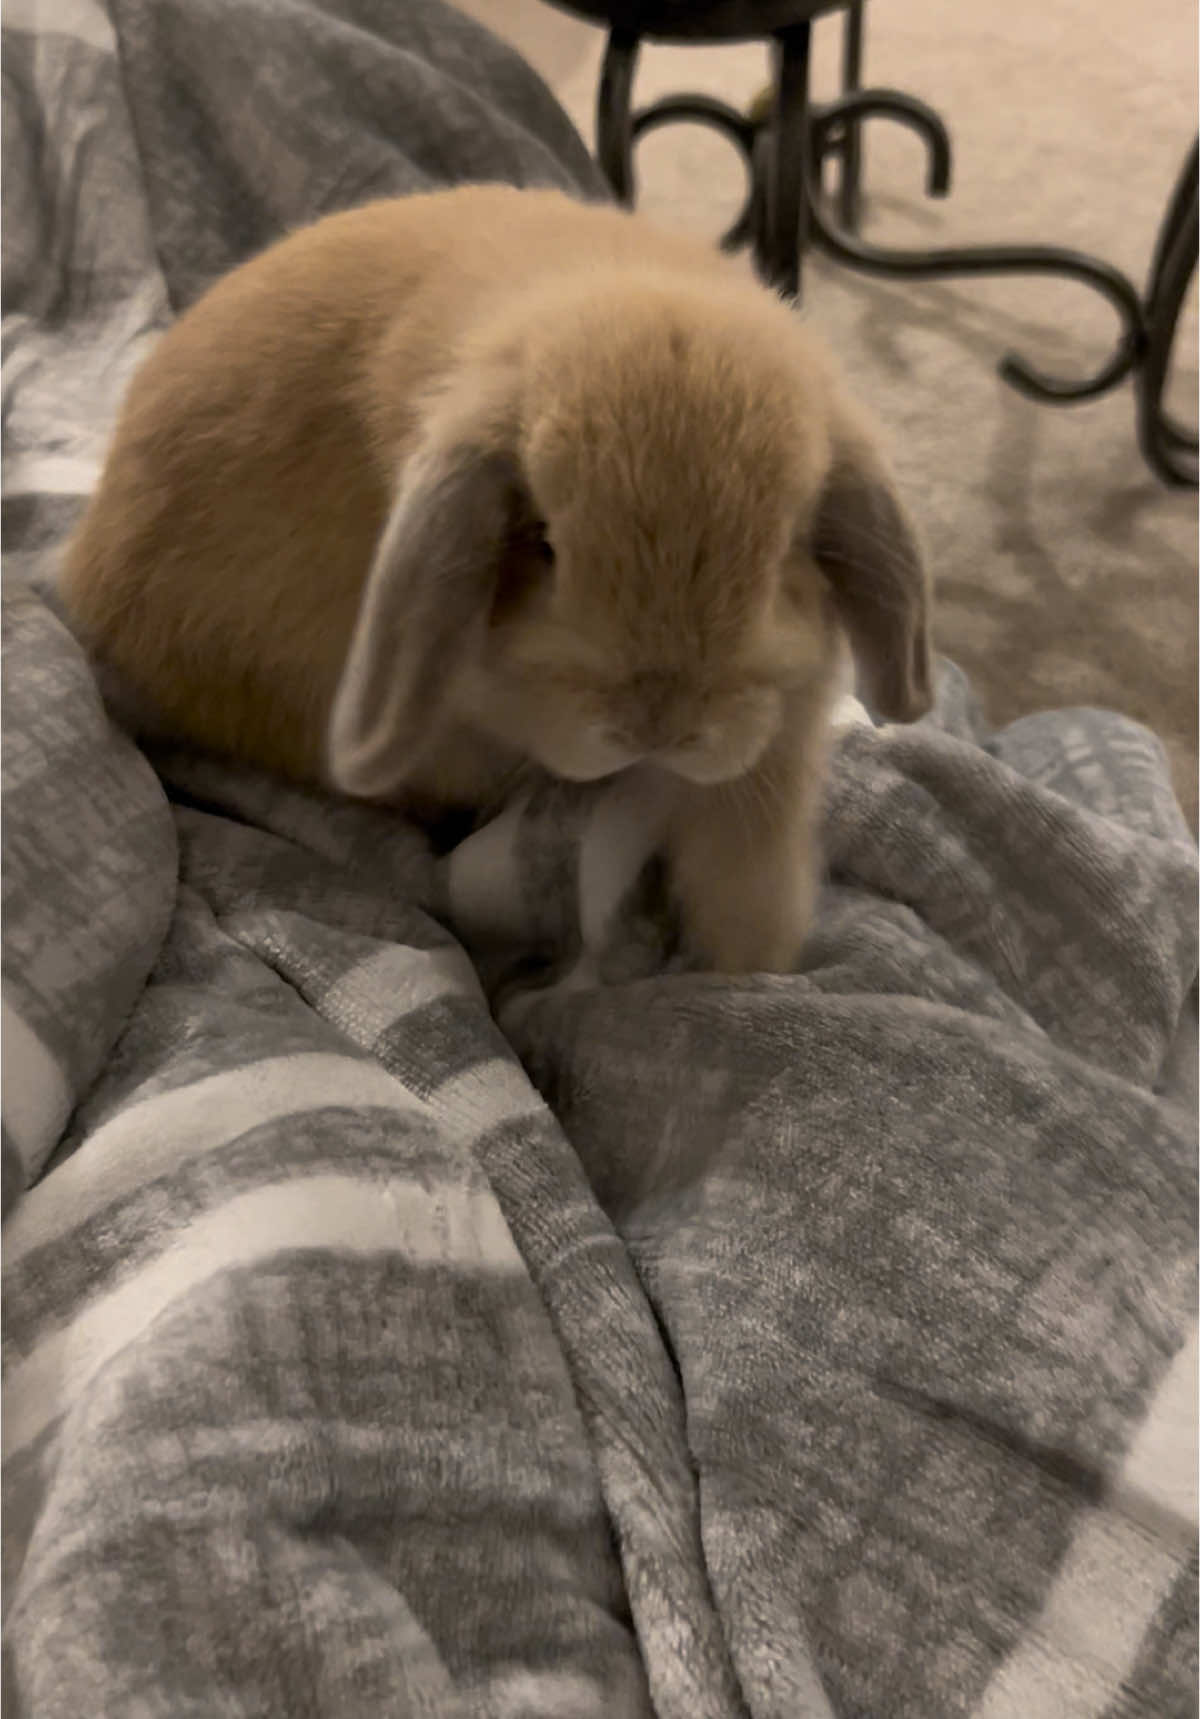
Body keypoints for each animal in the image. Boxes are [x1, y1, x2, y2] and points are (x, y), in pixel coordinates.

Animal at [58, 183, 932, 974]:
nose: (657, 724)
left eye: (784, 548)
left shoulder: (776, 751)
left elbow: (749, 869)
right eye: (544, 542)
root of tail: (83, 569)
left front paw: (753, 966)